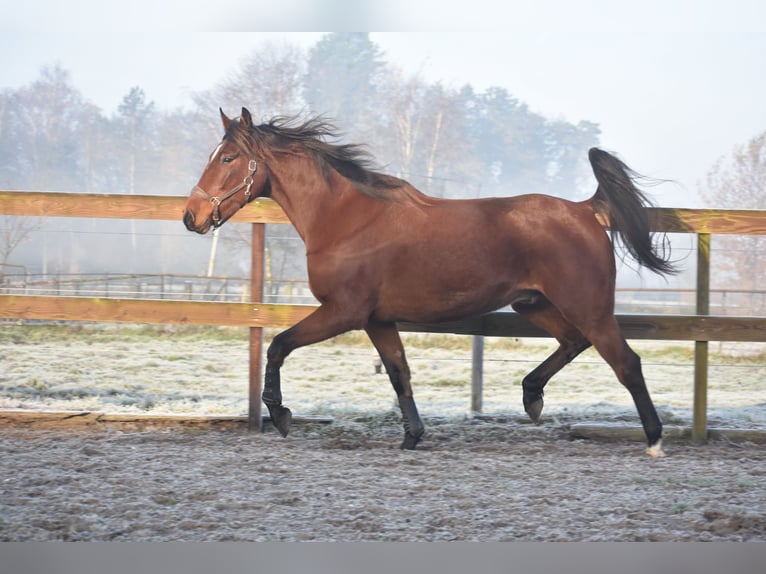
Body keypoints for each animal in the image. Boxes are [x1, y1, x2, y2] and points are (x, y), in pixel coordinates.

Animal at [186, 108, 680, 460]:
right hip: (533, 304)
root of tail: (584, 210)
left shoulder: (342, 312)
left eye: (228, 158)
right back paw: (531, 396)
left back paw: (654, 440)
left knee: (627, 363)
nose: (192, 217)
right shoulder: (377, 320)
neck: (345, 219)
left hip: (588, 308)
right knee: (573, 342)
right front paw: (412, 437)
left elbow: (278, 345)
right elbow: (399, 373)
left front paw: (282, 414)